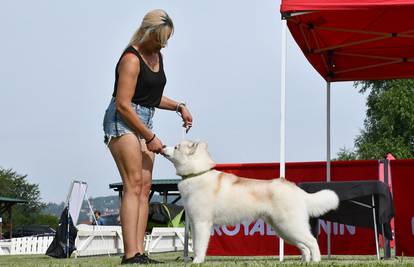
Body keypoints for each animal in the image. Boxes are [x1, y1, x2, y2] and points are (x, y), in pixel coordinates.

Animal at [163, 140, 340, 264]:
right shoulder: (194, 223)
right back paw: (304, 261)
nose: (163, 147)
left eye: (177, 147)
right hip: (283, 229)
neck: (197, 173)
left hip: (290, 225)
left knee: (312, 241)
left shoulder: (201, 223)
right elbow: (195, 245)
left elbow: (200, 246)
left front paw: (197, 261)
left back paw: (316, 261)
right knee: (303, 246)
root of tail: (296, 189)